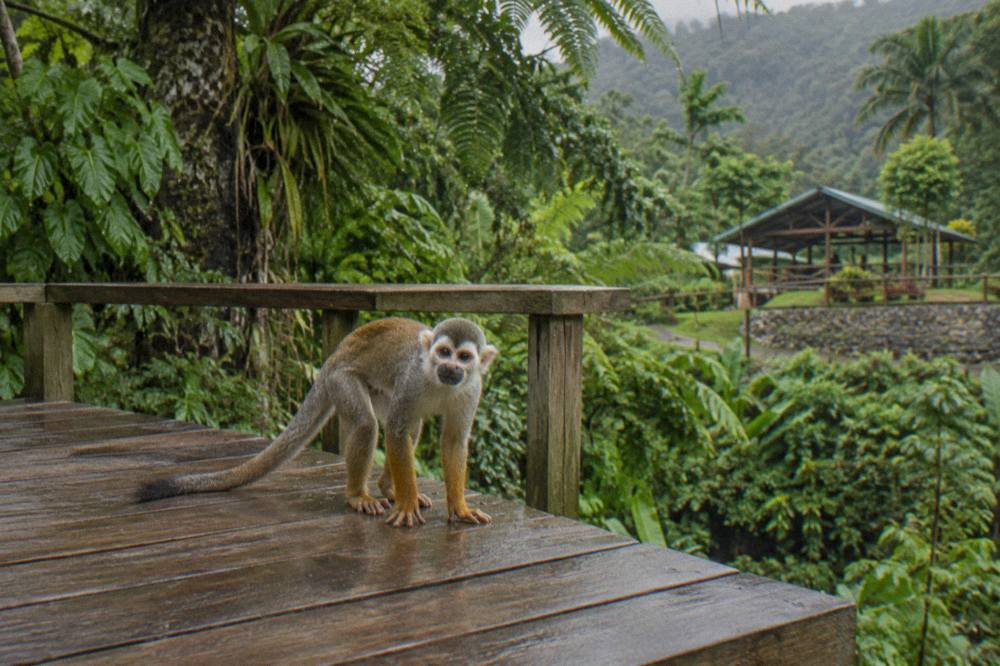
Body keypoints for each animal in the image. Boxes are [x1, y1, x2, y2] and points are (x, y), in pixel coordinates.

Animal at [137, 317, 498, 528]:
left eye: (464, 357)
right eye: (443, 352)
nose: (450, 368)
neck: (437, 381)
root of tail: (332, 359)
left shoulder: (473, 389)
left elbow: (453, 441)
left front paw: (460, 507)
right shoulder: (411, 380)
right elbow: (395, 430)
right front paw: (407, 504)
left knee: (411, 426)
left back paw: (387, 486)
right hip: (342, 380)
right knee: (368, 424)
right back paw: (359, 495)